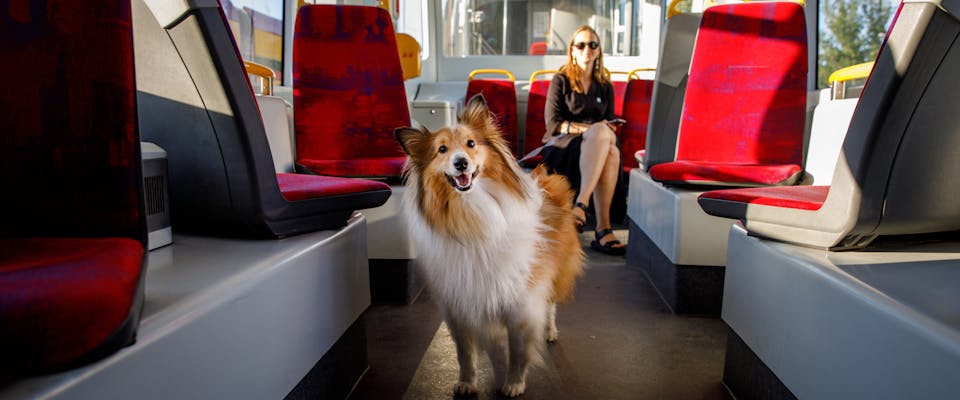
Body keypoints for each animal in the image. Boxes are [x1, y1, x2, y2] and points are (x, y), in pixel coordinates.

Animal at [392, 94, 584, 396]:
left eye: (471, 144)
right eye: (441, 150)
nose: (461, 163)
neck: (472, 211)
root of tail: (545, 178)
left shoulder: (520, 301)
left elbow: (518, 350)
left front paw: (514, 383)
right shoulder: (460, 304)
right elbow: (465, 353)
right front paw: (467, 382)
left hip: (554, 272)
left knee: (551, 304)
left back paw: (550, 331)